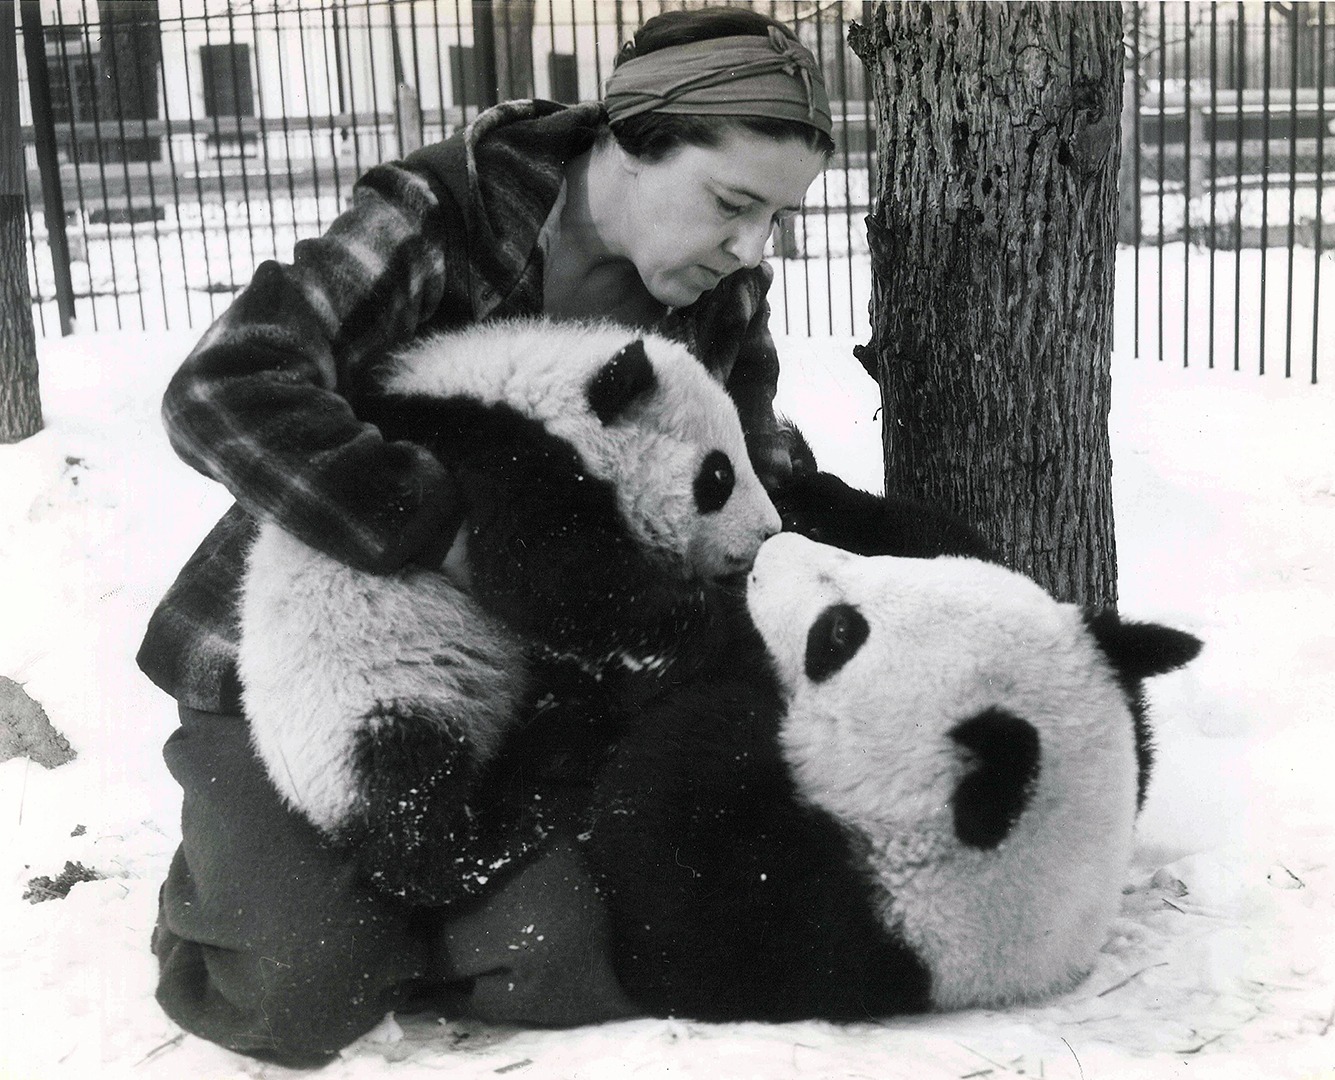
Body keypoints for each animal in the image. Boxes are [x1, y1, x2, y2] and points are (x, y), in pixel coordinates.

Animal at [236, 318, 781, 906]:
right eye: (718, 477)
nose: (769, 533)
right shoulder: (490, 464)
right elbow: (548, 581)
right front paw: (725, 628)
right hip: (359, 695)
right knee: (407, 786)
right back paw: (493, 846)